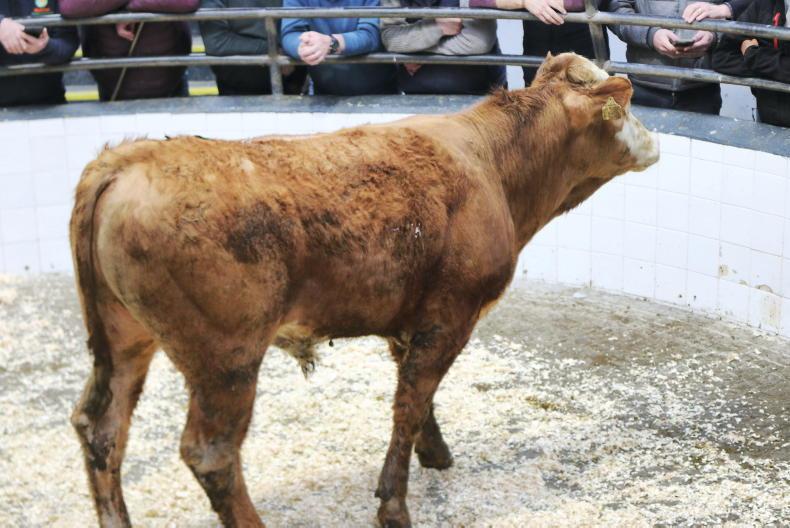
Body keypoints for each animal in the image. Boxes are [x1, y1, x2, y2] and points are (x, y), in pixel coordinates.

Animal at [69, 53, 659, 528]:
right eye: (625, 103)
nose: (654, 141)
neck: (493, 162)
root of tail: (123, 162)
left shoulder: (409, 319)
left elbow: (419, 401)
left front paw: (435, 454)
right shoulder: (450, 315)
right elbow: (410, 404)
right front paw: (394, 505)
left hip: (125, 337)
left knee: (100, 429)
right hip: (226, 357)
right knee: (210, 454)